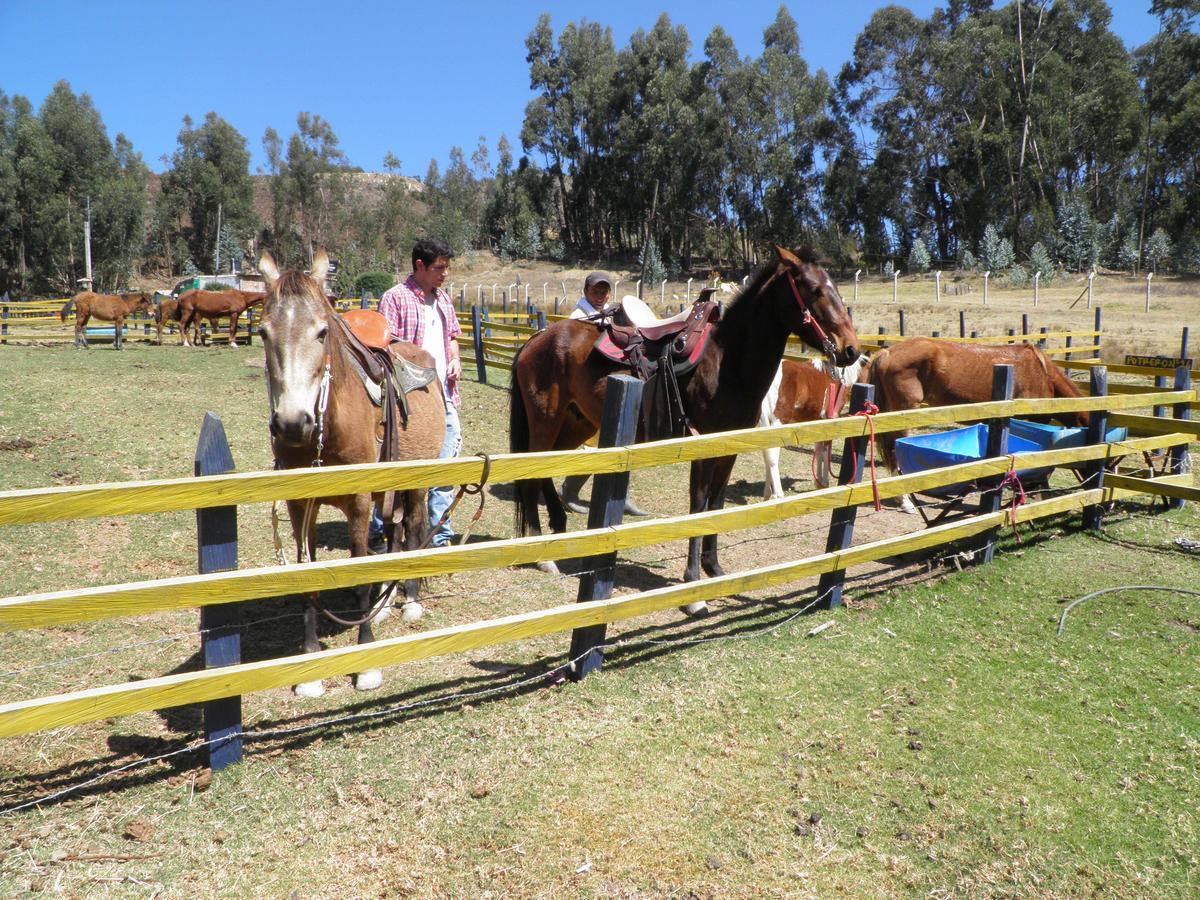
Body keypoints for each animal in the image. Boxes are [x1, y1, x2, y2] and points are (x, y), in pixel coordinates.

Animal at [258, 250, 446, 700]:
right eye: (262, 333)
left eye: (322, 332)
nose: (292, 424)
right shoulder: (299, 505)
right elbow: (307, 577)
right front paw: (310, 669)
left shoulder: (359, 503)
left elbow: (360, 574)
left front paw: (366, 664)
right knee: (393, 534)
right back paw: (383, 606)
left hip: (417, 482)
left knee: (413, 528)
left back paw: (409, 601)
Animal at [763, 355, 868, 501]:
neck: (837, 376)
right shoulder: (831, 419)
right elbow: (825, 449)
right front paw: (825, 482)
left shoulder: (818, 421)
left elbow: (818, 448)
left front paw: (818, 482)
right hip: (777, 423)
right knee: (772, 456)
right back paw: (778, 494)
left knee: (766, 454)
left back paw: (768, 493)